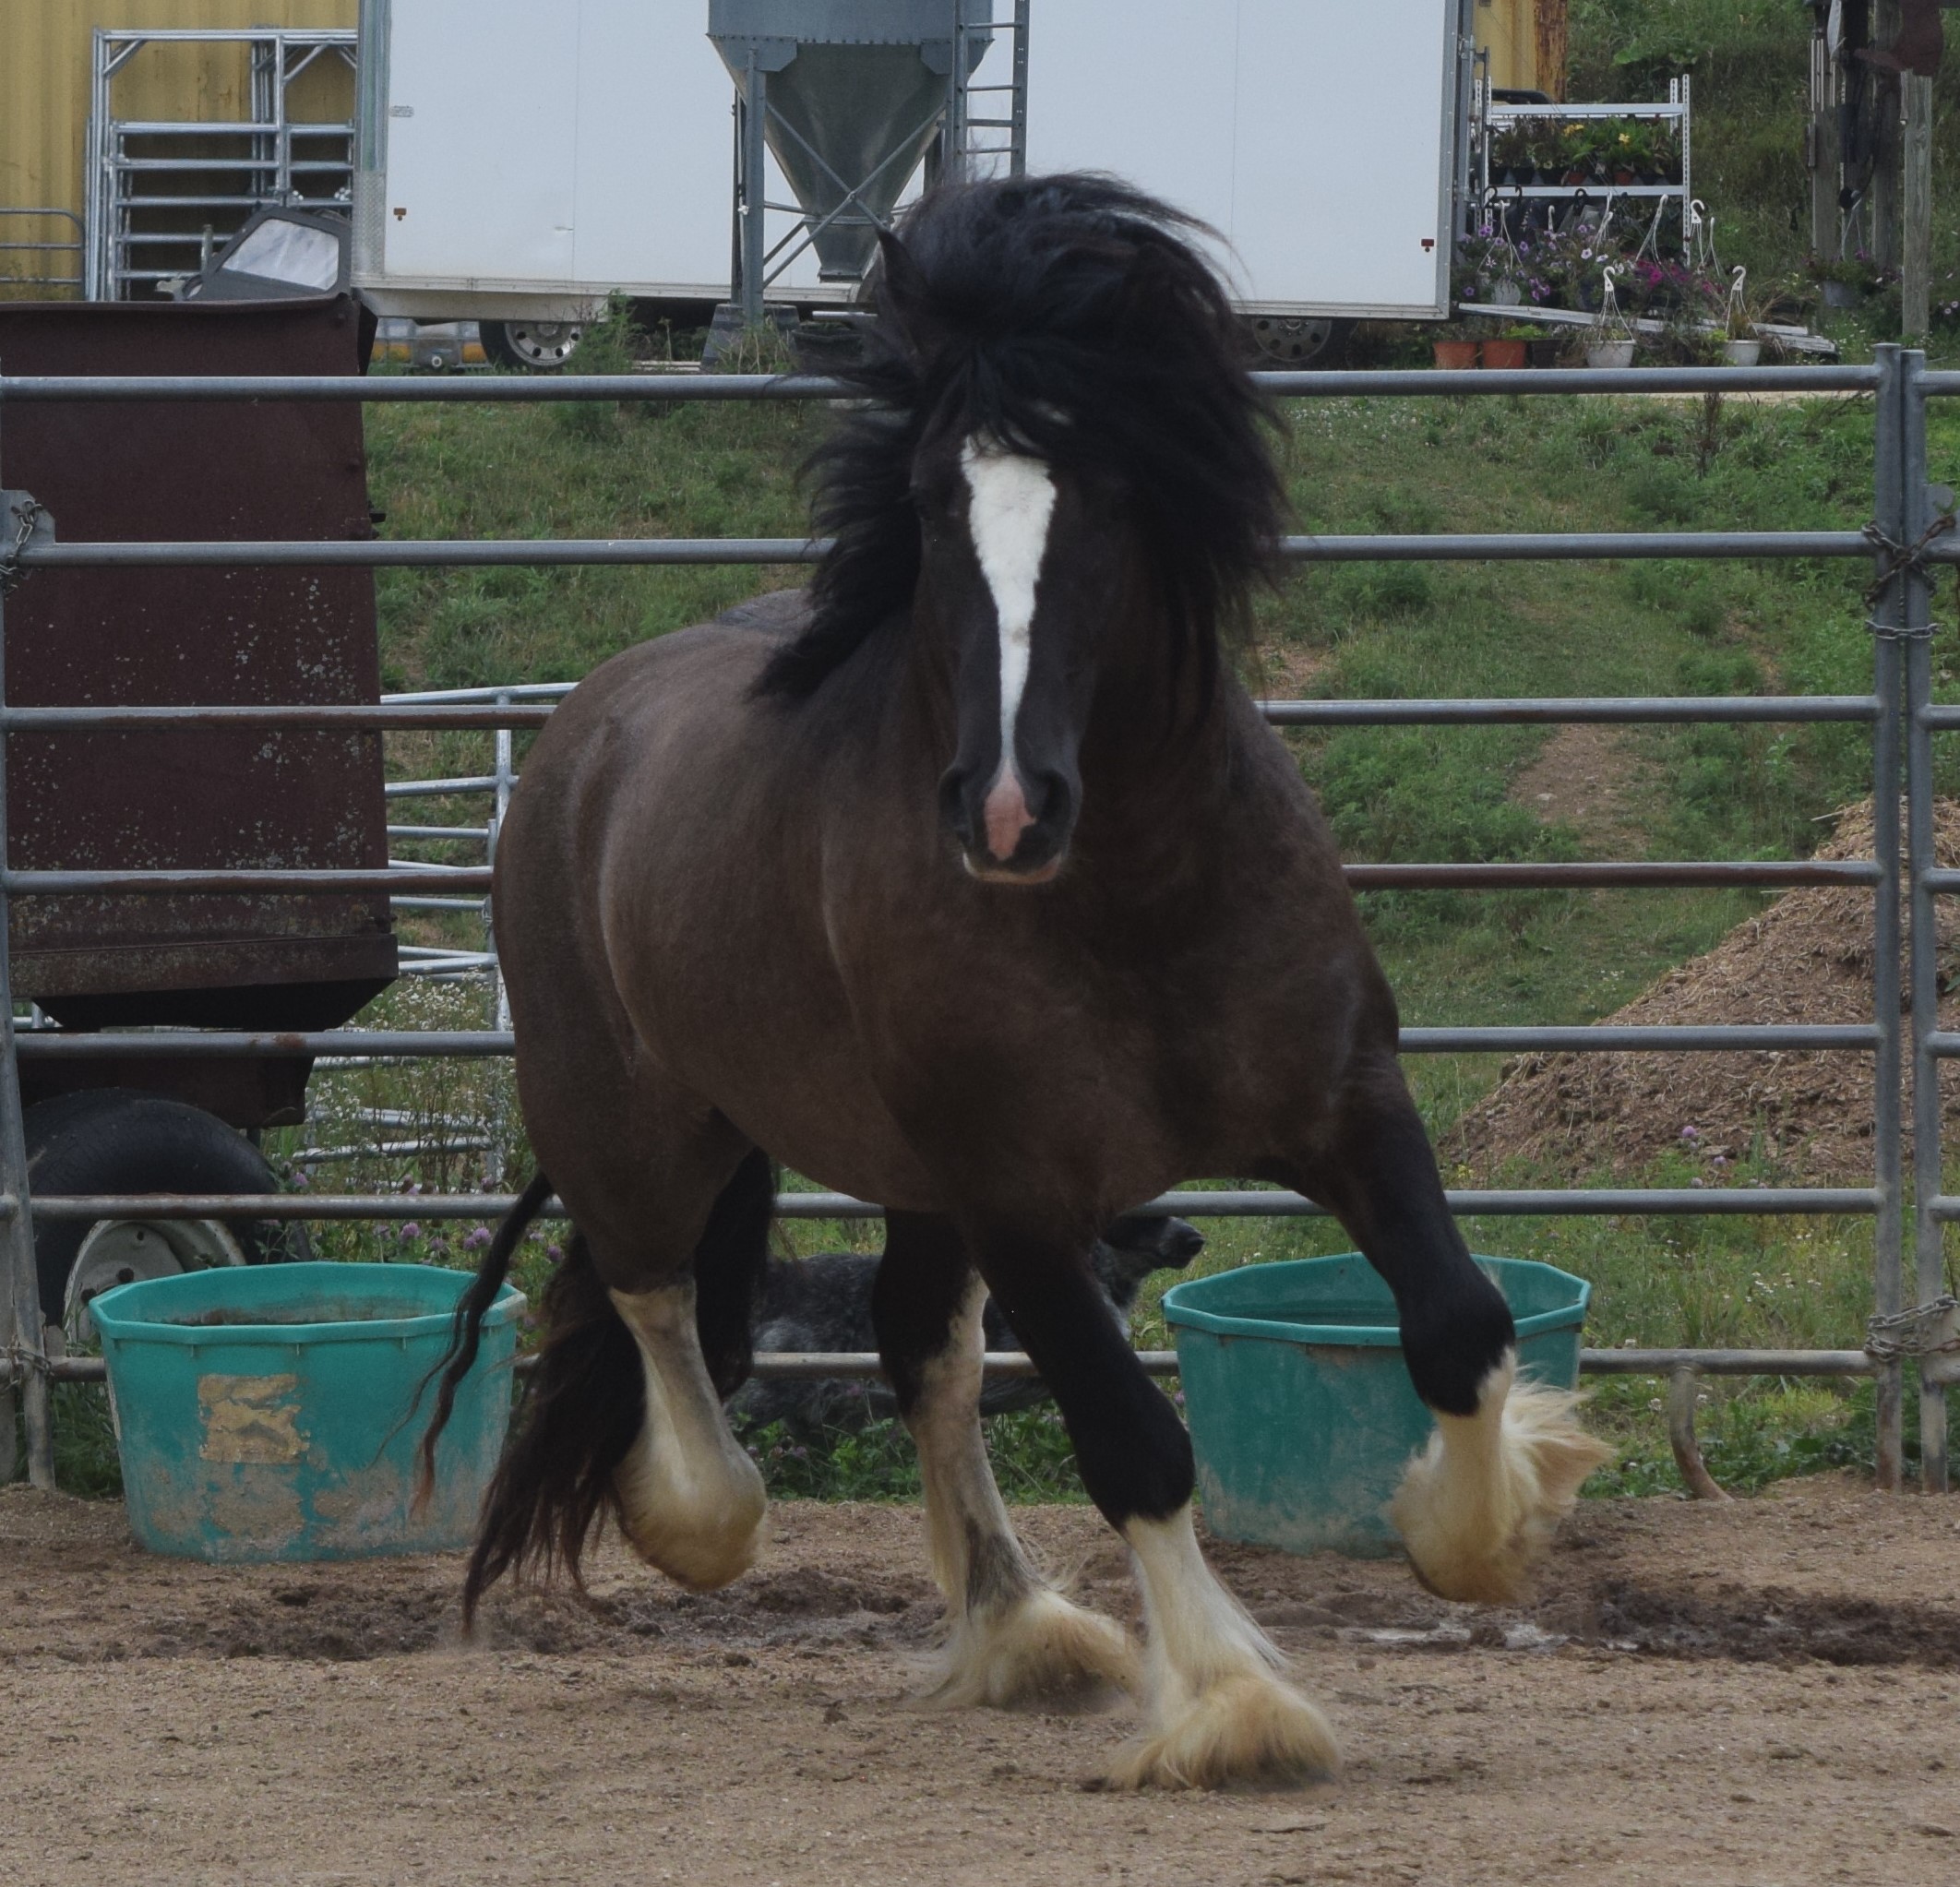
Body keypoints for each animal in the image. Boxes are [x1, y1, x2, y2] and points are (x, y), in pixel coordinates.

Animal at [423, 173, 1610, 1790]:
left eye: (1107, 494)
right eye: (934, 501)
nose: (1003, 810)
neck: (1138, 900)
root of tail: (576, 738)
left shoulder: (1349, 1108)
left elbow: (1459, 1323)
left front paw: (1483, 1526)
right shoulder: (1025, 1197)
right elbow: (1136, 1443)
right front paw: (1234, 1703)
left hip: (903, 1180)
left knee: (916, 1347)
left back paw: (1019, 1629)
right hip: (637, 1124)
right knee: (660, 1299)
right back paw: (699, 1518)